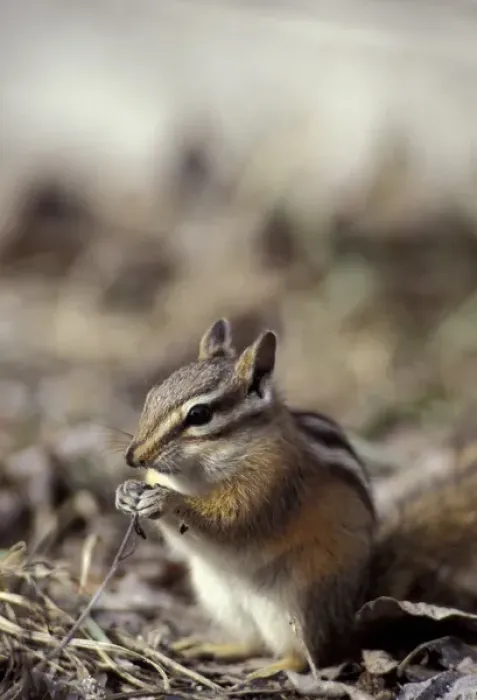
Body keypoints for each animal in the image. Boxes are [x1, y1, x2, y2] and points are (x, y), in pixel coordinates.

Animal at [115, 318, 477, 679]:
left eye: (199, 415)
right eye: (151, 395)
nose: (134, 457)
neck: (195, 474)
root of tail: (352, 611)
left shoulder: (271, 482)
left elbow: (231, 519)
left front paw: (168, 501)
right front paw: (127, 493)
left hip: (298, 602)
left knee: (304, 655)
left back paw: (270, 669)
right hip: (221, 598)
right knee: (251, 643)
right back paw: (213, 647)